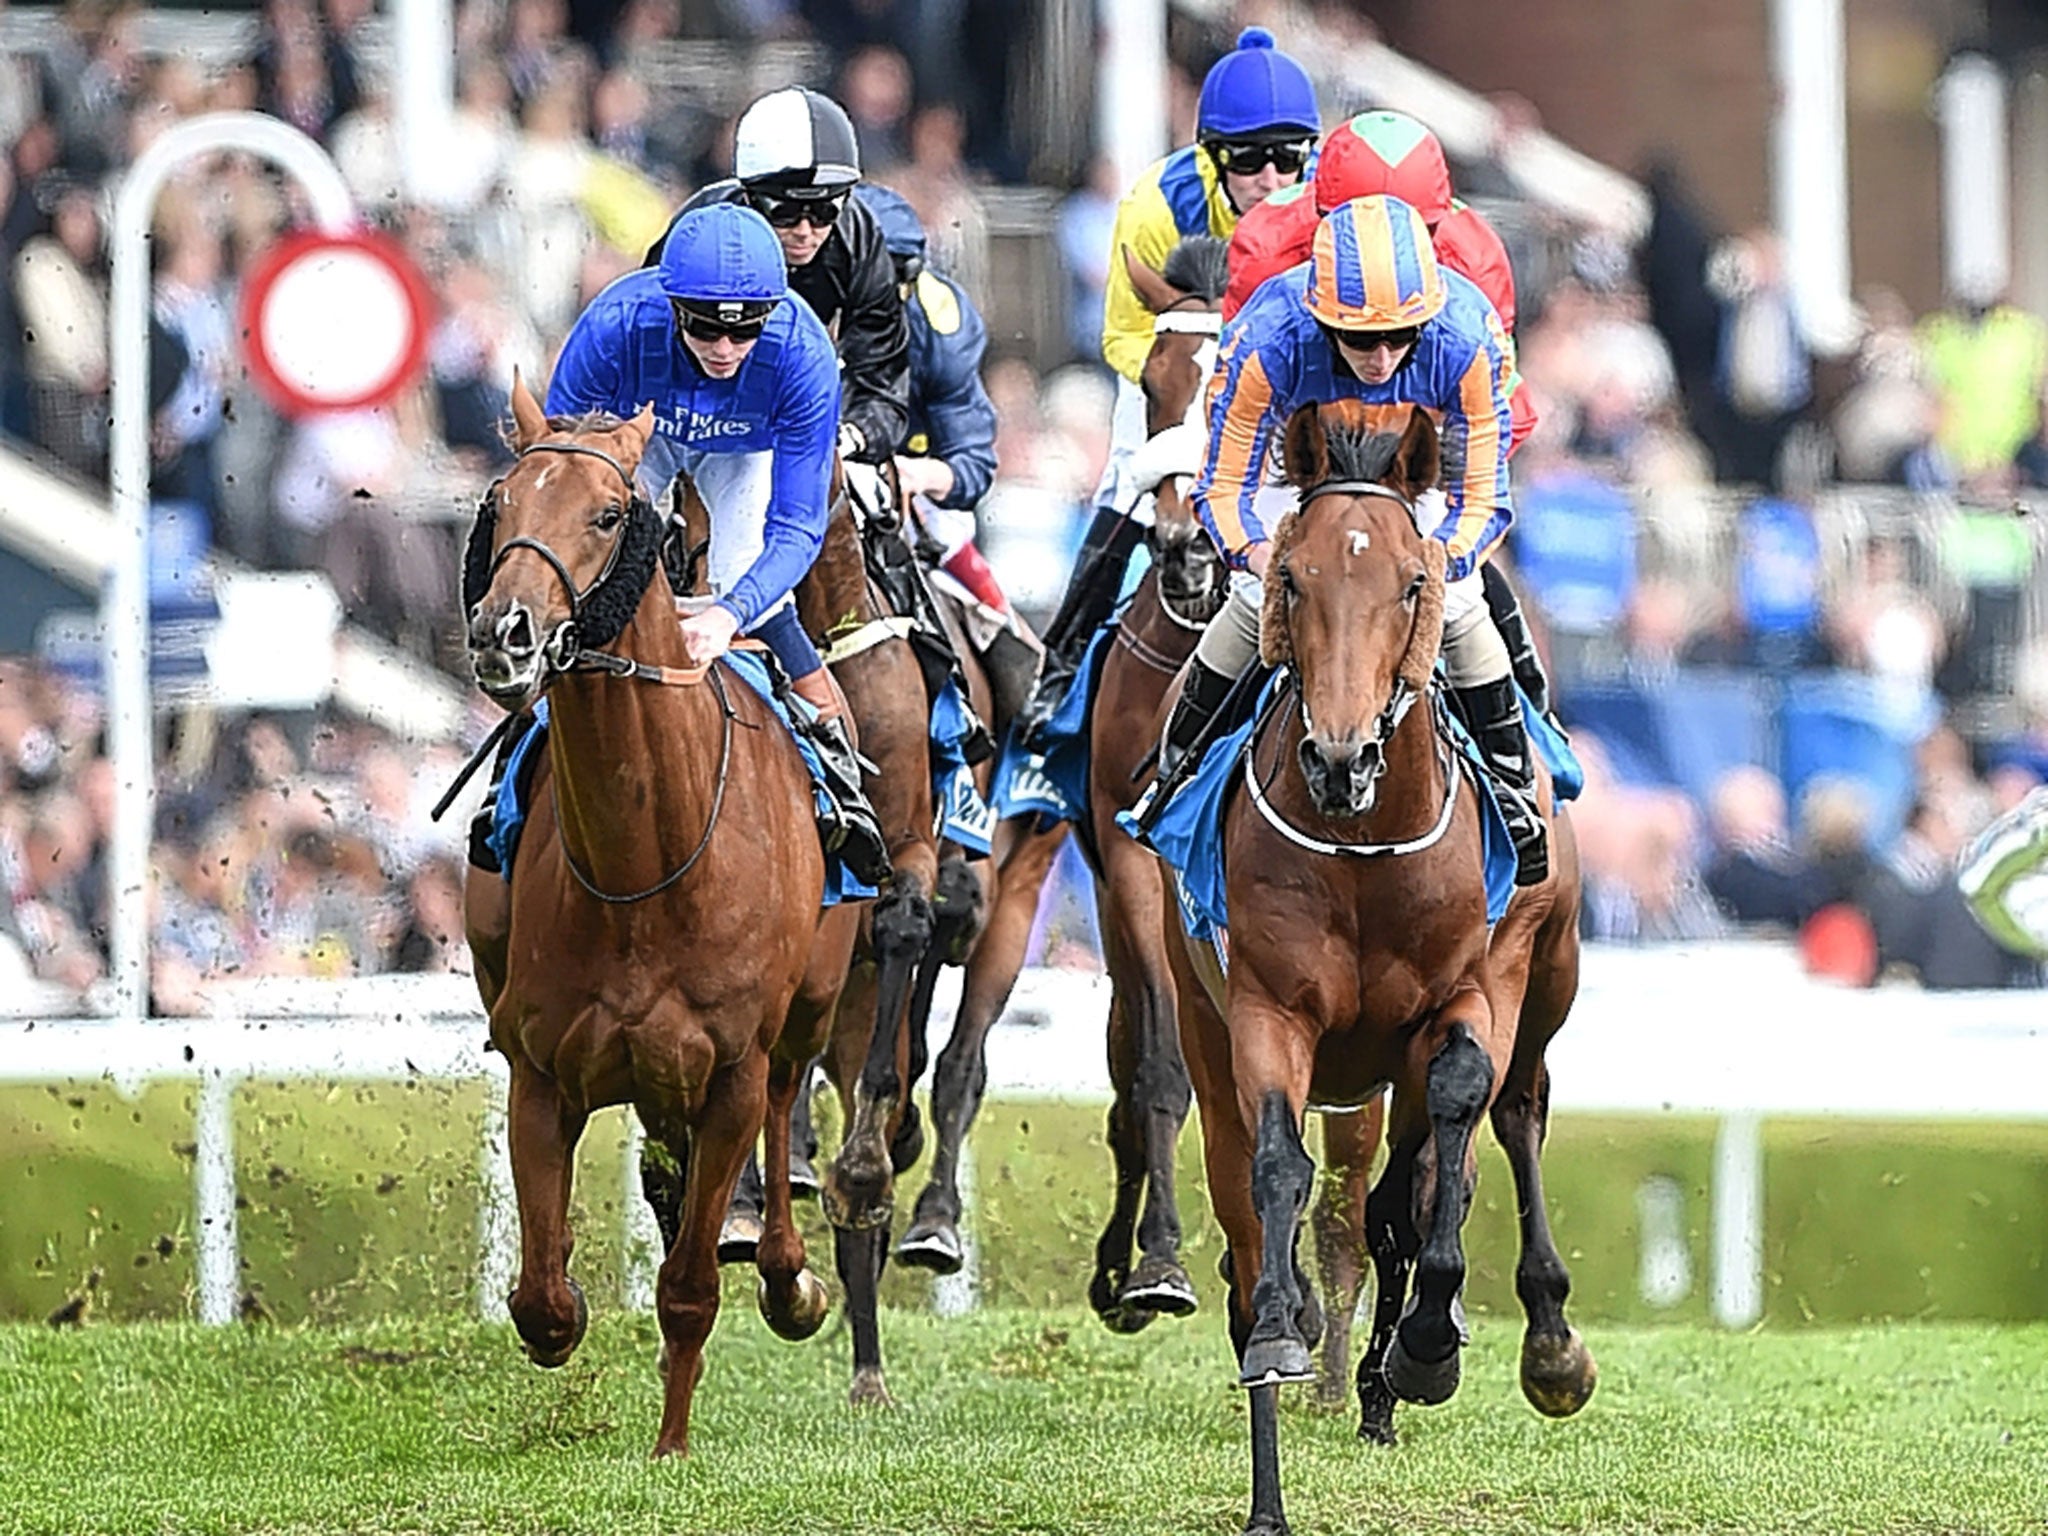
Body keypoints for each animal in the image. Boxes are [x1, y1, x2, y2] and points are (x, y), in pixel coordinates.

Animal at [462, 378, 847, 1458]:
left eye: (605, 515)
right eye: (501, 503)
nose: (504, 633)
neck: (644, 867)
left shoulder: (728, 1074)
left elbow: (688, 1287)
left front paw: (671, 1446)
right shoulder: (540, 1070)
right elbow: (542, 1298)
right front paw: (567, 1312)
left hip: (807, 1013)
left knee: (784, 1107)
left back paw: (792, 1278)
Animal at [1171, 403, 1597, 1531]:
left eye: (1410, 582)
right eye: (1293, 579)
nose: (1339, 756)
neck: (1363, 849)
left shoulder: (1467, 996)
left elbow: (1445, 1138)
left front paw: (1429, 1345)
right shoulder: (1264, 1010)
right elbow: (1280, 1171)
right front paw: (1281, 1349)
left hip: (1544, 985)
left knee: (1506, 1119)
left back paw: (1534, 1346)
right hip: (1206, 1029)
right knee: (1272, 1188)